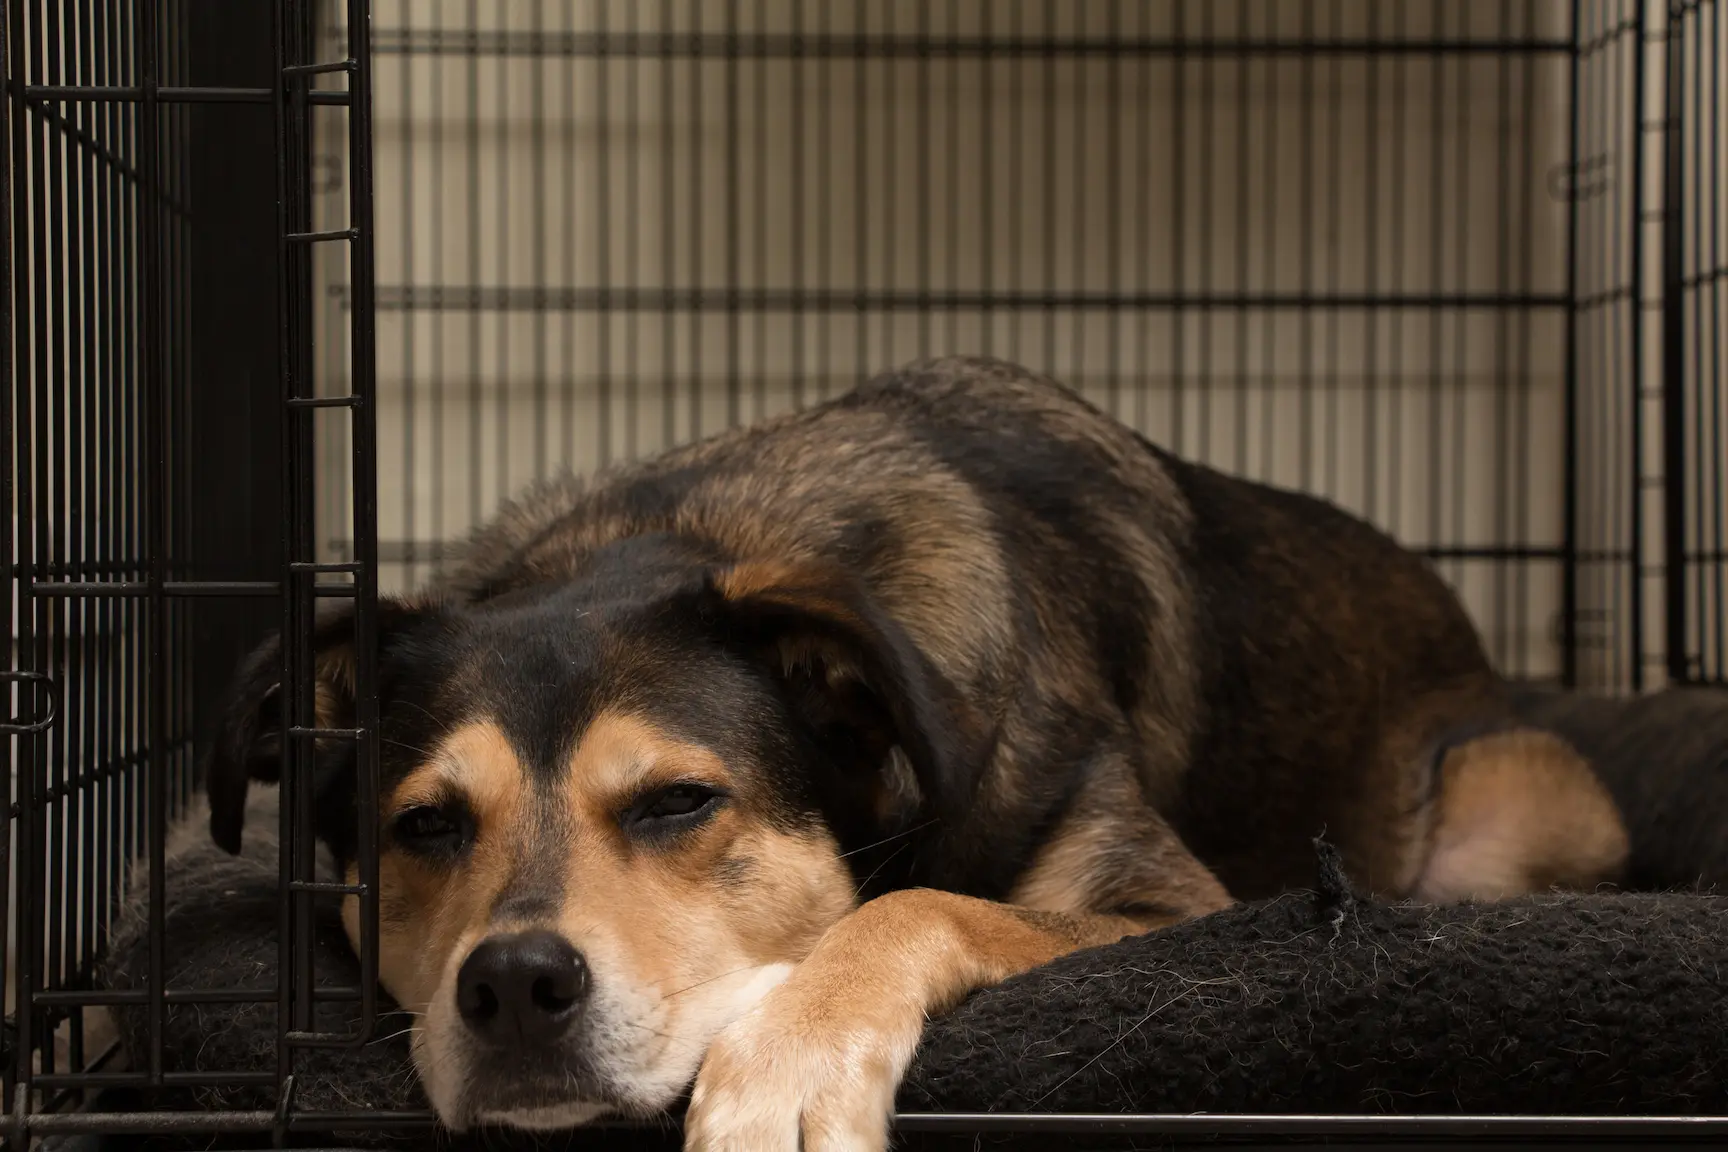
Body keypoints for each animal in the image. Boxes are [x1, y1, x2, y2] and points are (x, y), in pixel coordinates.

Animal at [205, 355, 1631, 1152]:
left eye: (680, 801)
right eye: (424, 826)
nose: (511, 987)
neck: (705, 530)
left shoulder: (1174, 911)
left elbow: (923, 904)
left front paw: (785, 1065)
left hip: (1534, 799)